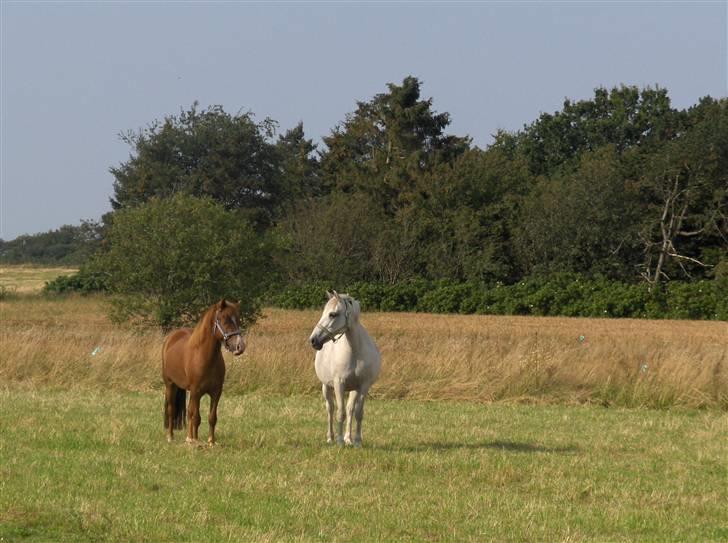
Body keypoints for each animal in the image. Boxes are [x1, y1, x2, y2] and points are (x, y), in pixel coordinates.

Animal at [161, 298, 246, 446]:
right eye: (225, 320)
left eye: (238, 320)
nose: (240, 346)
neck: (203, 356)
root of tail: (170, 338)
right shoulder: (196, 390)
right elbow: (194, 416)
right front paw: (191, 440)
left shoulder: (216, 392)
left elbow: (211, 417)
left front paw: (211, 442)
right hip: (170, 385)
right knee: (172, 410)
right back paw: (171, 436)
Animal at [308, 292, 382, 448]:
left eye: (332, 314)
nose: (313, 340)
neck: (355, 351)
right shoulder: (338, 384)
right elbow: (339, 412)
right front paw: (339, 441)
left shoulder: (363, 386)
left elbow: (358, 413)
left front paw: (357, 441)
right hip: (326, 387)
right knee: (330, 409)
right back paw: (331, 437)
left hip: (353, 389)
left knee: (350, 409)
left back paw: (349, 438)